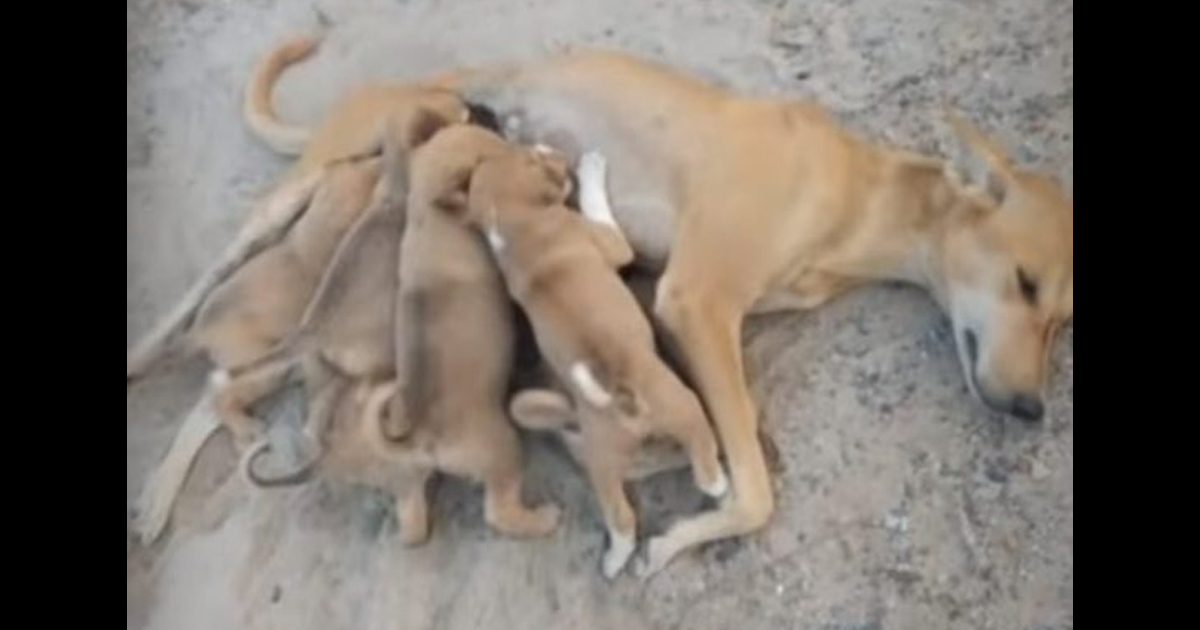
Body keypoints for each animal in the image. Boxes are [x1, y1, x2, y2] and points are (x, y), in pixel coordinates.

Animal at [456, 150, 720, 578]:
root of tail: (619, 396)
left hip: (602, 465)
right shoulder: (609, 242)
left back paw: (614, 562)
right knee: (698, 433)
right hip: (681, 404)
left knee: (622, 520)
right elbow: (598, 208)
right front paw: (592, 170)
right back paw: (714, 481)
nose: (552, 151)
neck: (515, 225)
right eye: (535, 156)